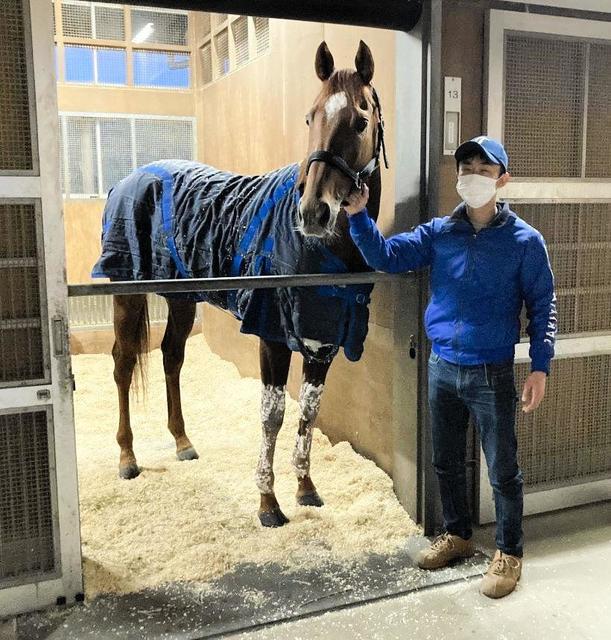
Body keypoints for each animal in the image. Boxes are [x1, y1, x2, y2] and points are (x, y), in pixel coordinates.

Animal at [95, 42, 388, 528]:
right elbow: (273, 414)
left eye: (361, 121)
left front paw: (306, 488)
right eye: (309, 117)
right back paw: (126, 458)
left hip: (182, 300)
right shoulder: (272, 334)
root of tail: (127, 179)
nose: (313, 212)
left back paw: (183, 443)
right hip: (126, 293)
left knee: (171, 356)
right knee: (122, 364)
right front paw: (268, 504)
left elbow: (310, 412)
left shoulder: (324, 340)